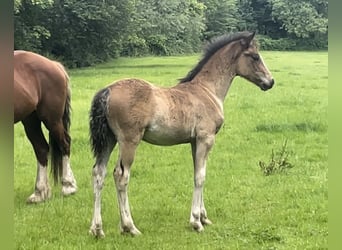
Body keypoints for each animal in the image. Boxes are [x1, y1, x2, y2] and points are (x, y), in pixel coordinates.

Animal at [14, 50, 77, 203]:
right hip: (30, 119)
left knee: (64, 143)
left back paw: (68, 186)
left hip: (52, 119)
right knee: (41, 148)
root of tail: (55, 65)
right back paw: (40, 193)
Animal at [89, 31, 276, 236]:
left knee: (99, 173)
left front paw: (204, 217)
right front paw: (196, 222)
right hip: (129, 141)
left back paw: (97, 229)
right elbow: (200, 177)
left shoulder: (195, 142)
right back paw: (129, 227)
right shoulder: (206, 138)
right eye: (255, 56)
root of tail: (107, 90)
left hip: (109, 140)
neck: (208, 91)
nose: (270, 82)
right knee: (121, 176)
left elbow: (198, 172)